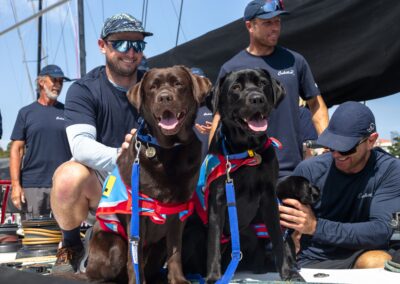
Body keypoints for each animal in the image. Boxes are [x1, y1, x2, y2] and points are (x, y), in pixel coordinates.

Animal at [86, 66, 212, 284]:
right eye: (152, 87)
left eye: (178, 84)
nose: (164, 97)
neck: (169, 149)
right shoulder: (138, 213)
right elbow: (134, 257)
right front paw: (138, 280)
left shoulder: (178, 212)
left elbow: (175, 252)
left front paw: (178, 279)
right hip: (113, 245)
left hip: (158, 246)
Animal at [205, 69, 302, 282]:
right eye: (236, 87)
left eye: (263, 83)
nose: (257, 98)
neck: (247, 150)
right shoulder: (218, 200)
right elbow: (213, 242)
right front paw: (214, 276)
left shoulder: (269, 197)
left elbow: (277, 238)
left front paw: (287, 272)